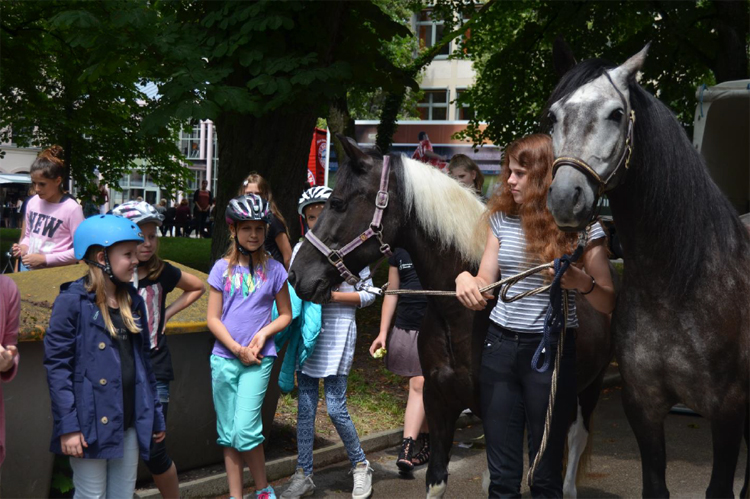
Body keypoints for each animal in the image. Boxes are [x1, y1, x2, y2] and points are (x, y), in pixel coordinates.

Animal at [290, 136, 612, 496]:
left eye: (338, 203)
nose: (297, 274)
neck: (461, 316)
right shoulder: (439, 401)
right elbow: (438, 479)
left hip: (588, 388)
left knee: (575, 437)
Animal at [548, 45, 750, 498]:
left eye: (616, 114)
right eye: (552, 116)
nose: (565, 198)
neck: (678, 285)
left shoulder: (729, 410)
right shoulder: (643, 406)